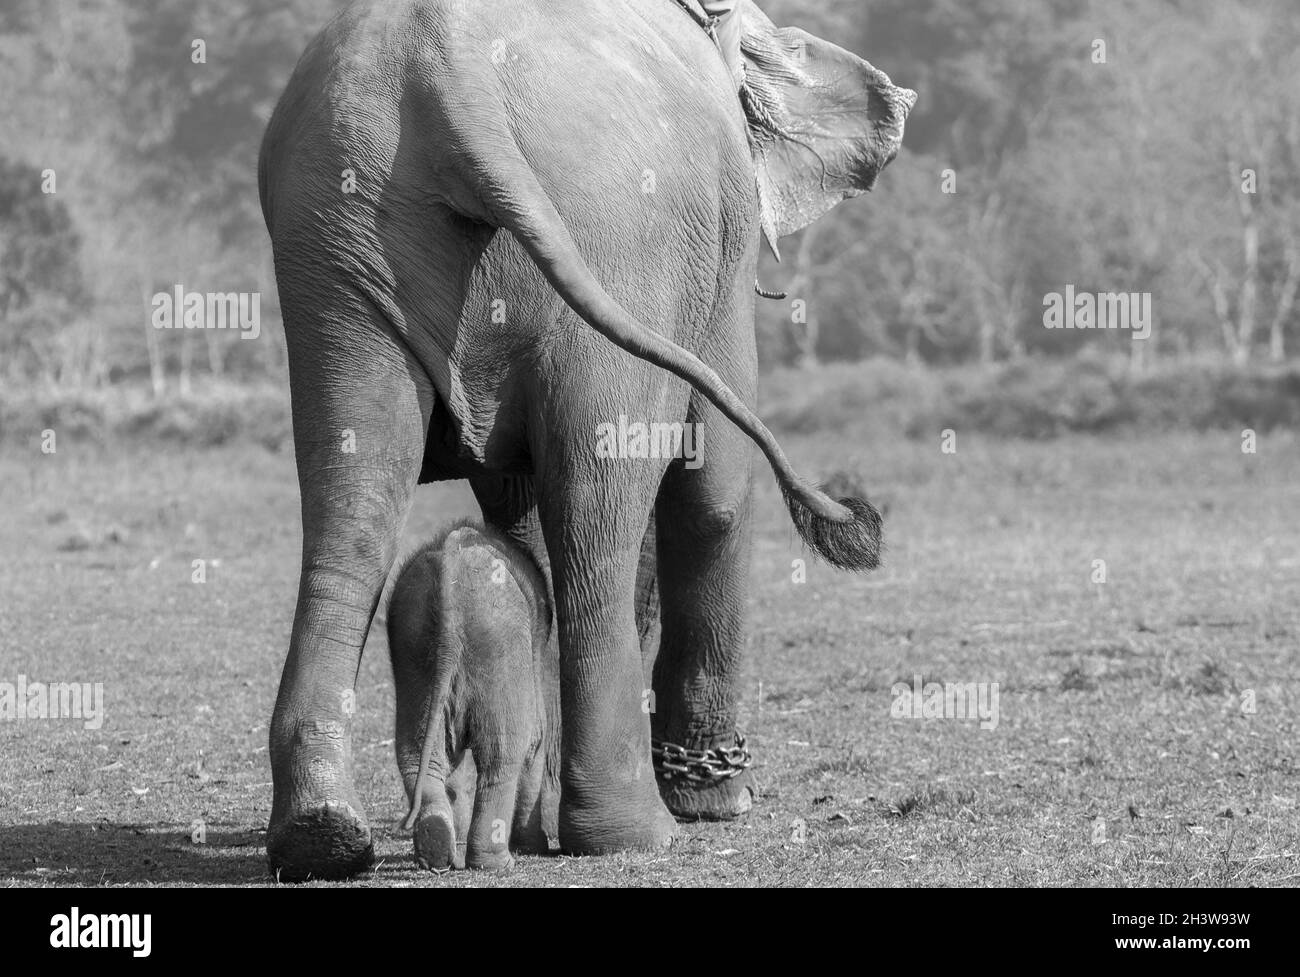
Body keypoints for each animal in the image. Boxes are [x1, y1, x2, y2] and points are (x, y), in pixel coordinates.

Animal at [390, 519, 564, 867]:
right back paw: (498, 864)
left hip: (414, 656)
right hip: (500, 649)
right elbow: (535, 740)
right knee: (503, 755)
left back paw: (437, 848)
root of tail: (450, 582)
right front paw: (533, 848)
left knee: (418, 755)